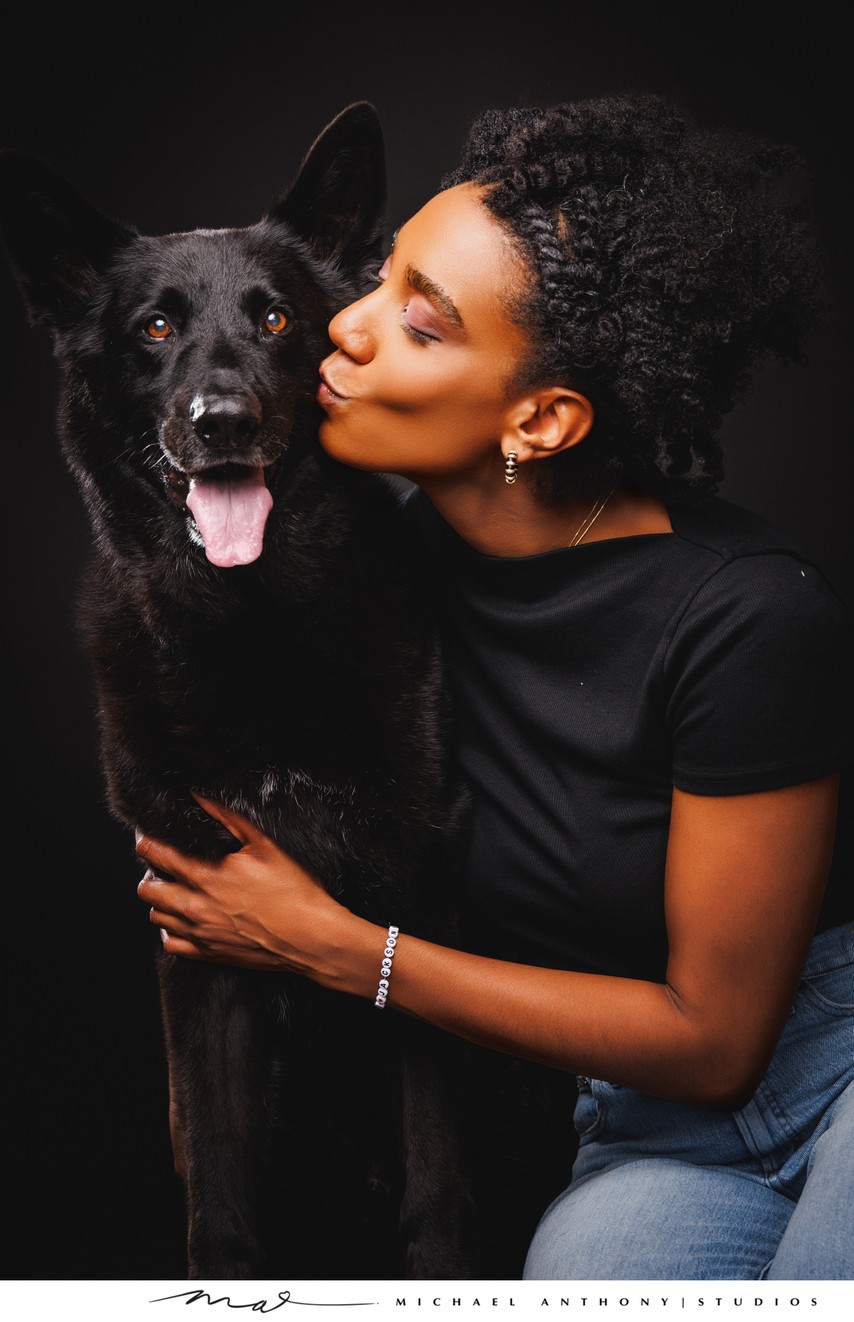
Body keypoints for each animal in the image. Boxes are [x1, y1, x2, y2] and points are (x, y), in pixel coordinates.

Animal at [1, 103, 481, 1279]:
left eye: (274, 317)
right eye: (154, 329)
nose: (219, 420)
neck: (253, 628)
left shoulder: (419, 898)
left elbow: (435, 1180)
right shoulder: (202, 928)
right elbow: (219, 1194)